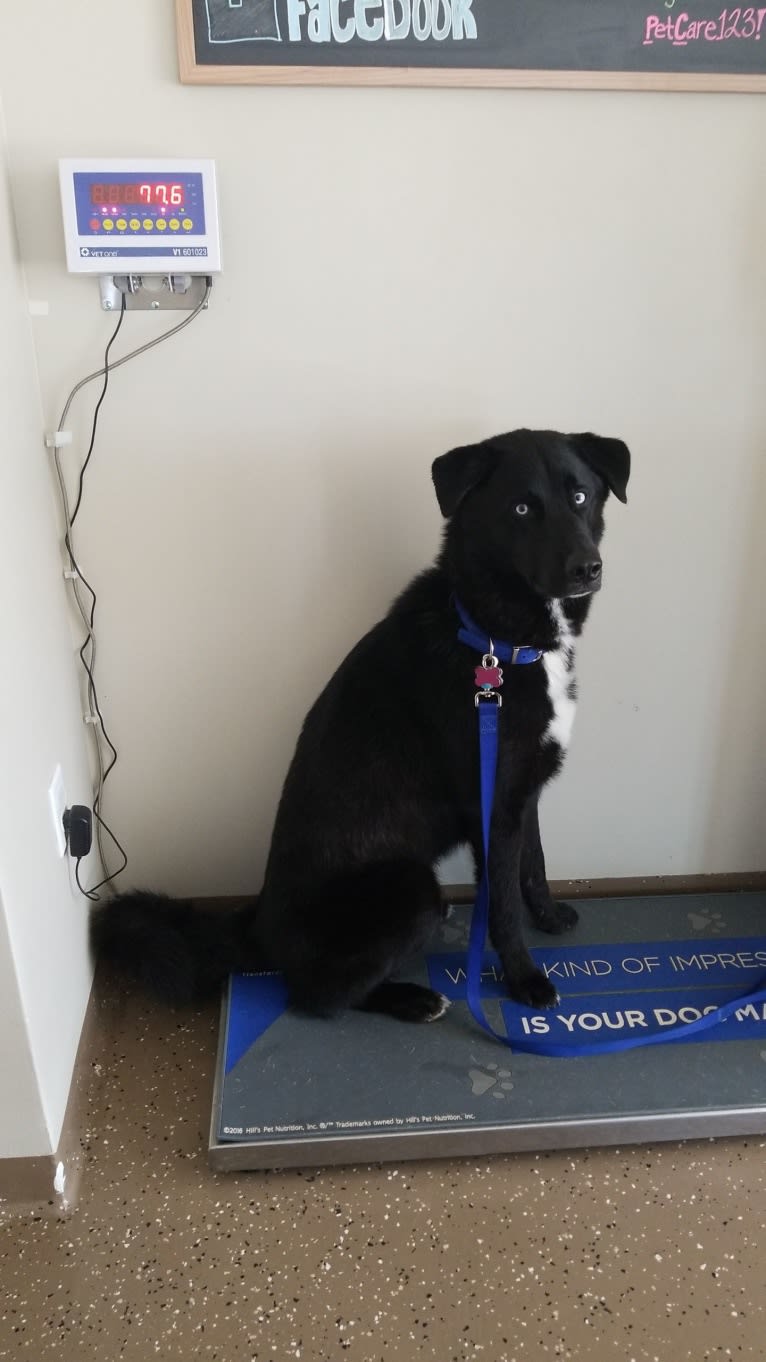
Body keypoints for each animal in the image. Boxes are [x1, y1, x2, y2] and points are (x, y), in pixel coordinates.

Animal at [94, 427, 626, 1024]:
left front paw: (550, 918)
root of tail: (258, 927)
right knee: (315, 996)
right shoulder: (491, 806)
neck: (493, 639)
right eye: (521, 508)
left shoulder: (520, 790)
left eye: (580, 496)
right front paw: (525, 979)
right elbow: (503, 904)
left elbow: (532, 864)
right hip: (410, 888)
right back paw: (413, 999)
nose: (587, 568)